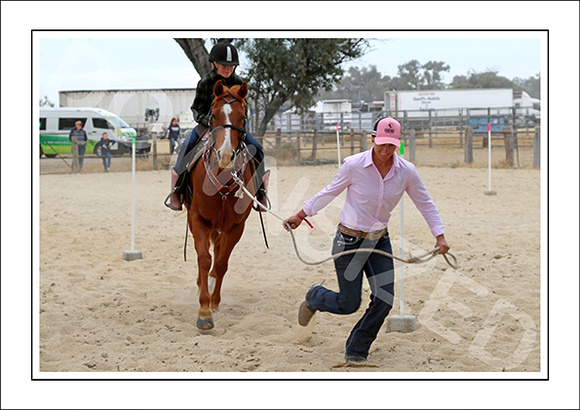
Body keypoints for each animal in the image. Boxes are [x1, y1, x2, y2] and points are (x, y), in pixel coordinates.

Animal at [187, 80, 258, 330]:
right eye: (214, 114)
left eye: (243, 117)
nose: (225, 155)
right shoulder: (198, 219)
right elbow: (203, 258)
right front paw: (204, 311)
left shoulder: (236, 227)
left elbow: (220, 264)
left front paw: (213, 303)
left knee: (218, 254)